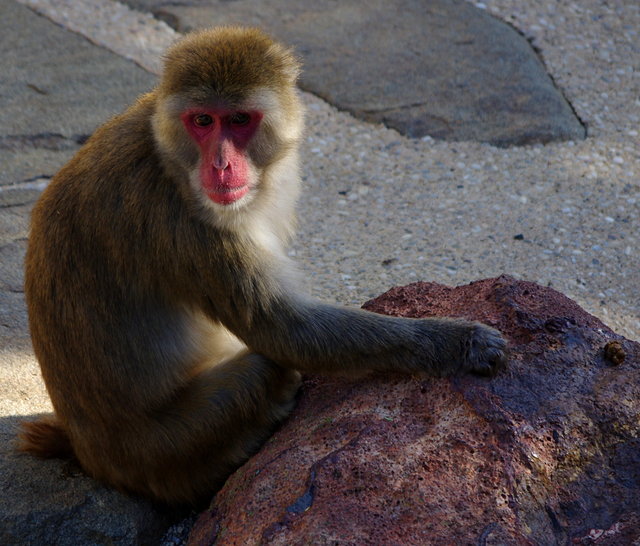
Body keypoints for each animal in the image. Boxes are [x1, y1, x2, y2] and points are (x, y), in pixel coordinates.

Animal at [18, 24, 504, 502]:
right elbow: (284, 330)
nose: (220, 166)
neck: (168, 157)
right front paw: (457, 342)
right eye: (202, 121)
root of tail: (89, 454)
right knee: (263, 367)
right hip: (168, 448)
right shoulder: (182, 221)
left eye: (238, 120)